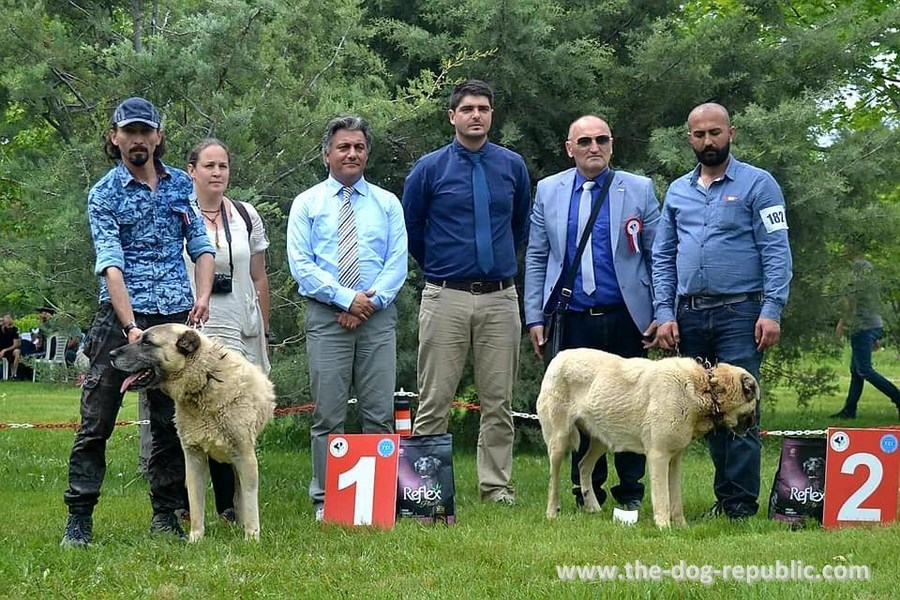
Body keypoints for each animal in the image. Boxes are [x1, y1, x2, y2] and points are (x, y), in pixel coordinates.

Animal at [109, 326, 272, 540]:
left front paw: (251, 538)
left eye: (147, 342)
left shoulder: (245, 457)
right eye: (139, 338)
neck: (205, 380)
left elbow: (250, 502)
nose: (111, 354)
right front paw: (195, 539)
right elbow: (196, 506)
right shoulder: (194, 458)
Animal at [536, 350, 760, 528]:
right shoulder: (658, 456)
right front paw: (664, 528)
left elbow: (675, 497)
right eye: (754, 403)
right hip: (559, 440)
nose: (754, 424)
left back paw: (593, 508)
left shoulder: (675, 459)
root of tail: (559, 356)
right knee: (553, 479)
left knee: (583, 466)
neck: (705, 388)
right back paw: (551, 513)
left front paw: (682, 527)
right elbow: (663, 498)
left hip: (602, 439)